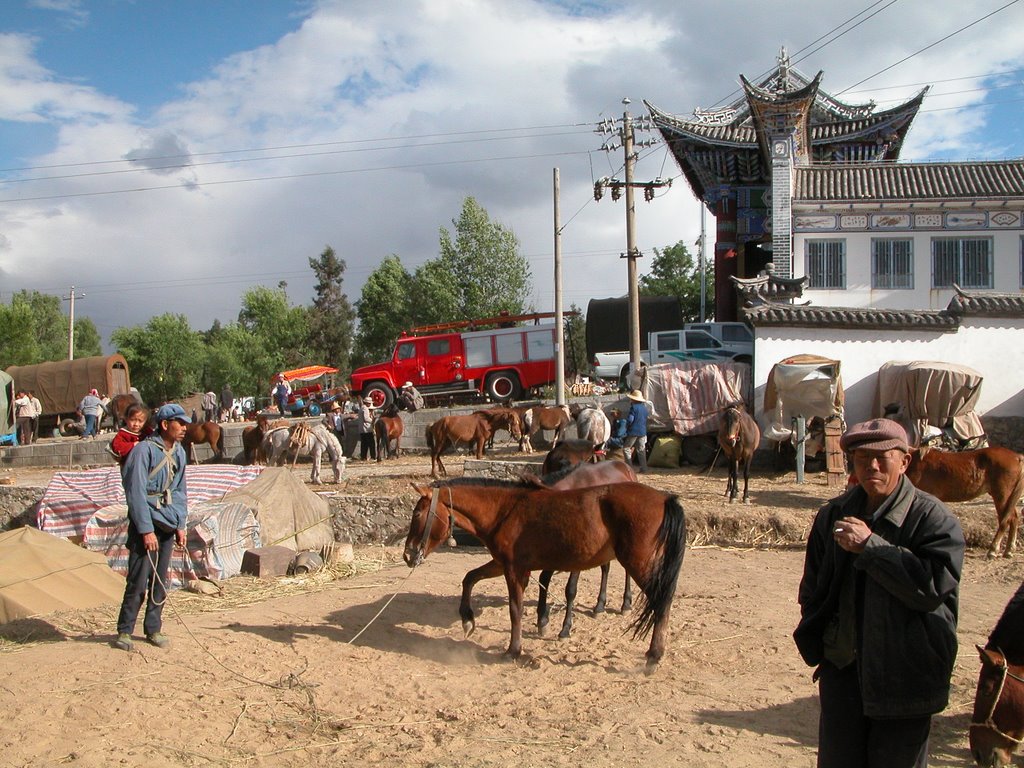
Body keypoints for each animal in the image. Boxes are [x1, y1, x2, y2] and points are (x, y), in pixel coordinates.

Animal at [403, 481, 684, 671]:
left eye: (417, 514)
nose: (408, 554)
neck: (505, 511)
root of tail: (663, 498)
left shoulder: (514, 570)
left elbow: (515, 609)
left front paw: (513, 651)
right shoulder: (502, 564)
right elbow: (469, 578)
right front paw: (467, 620)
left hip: (639, 564)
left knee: (661, 604)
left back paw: (653, 656)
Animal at [532, 460, 634, 638]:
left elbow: (570, 589)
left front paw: (565, 628)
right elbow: (543, 580)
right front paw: (542, 621)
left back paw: (626, 604)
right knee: (605, 568)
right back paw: (599, 605)